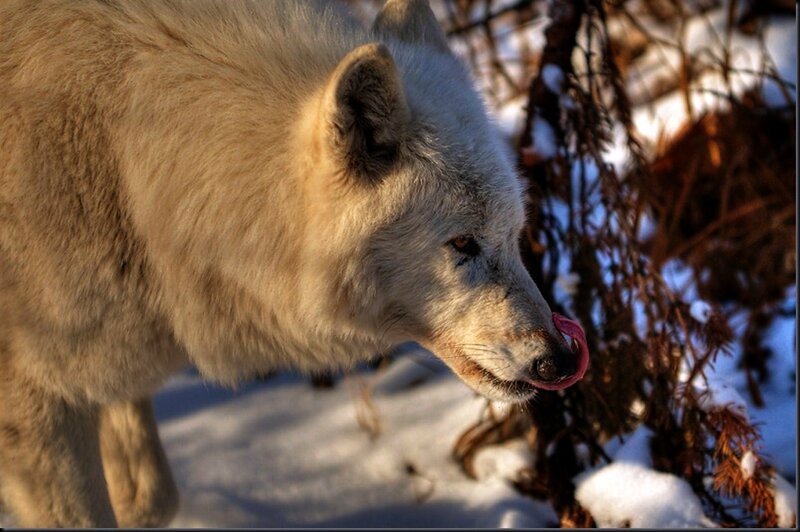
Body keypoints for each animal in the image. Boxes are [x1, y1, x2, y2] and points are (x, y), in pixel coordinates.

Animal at [0, 0, 588, 526]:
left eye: (512, 235)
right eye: (463, 243)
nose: (560, 360)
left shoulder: (105, 356)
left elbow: (151, 500)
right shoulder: (36, 401)